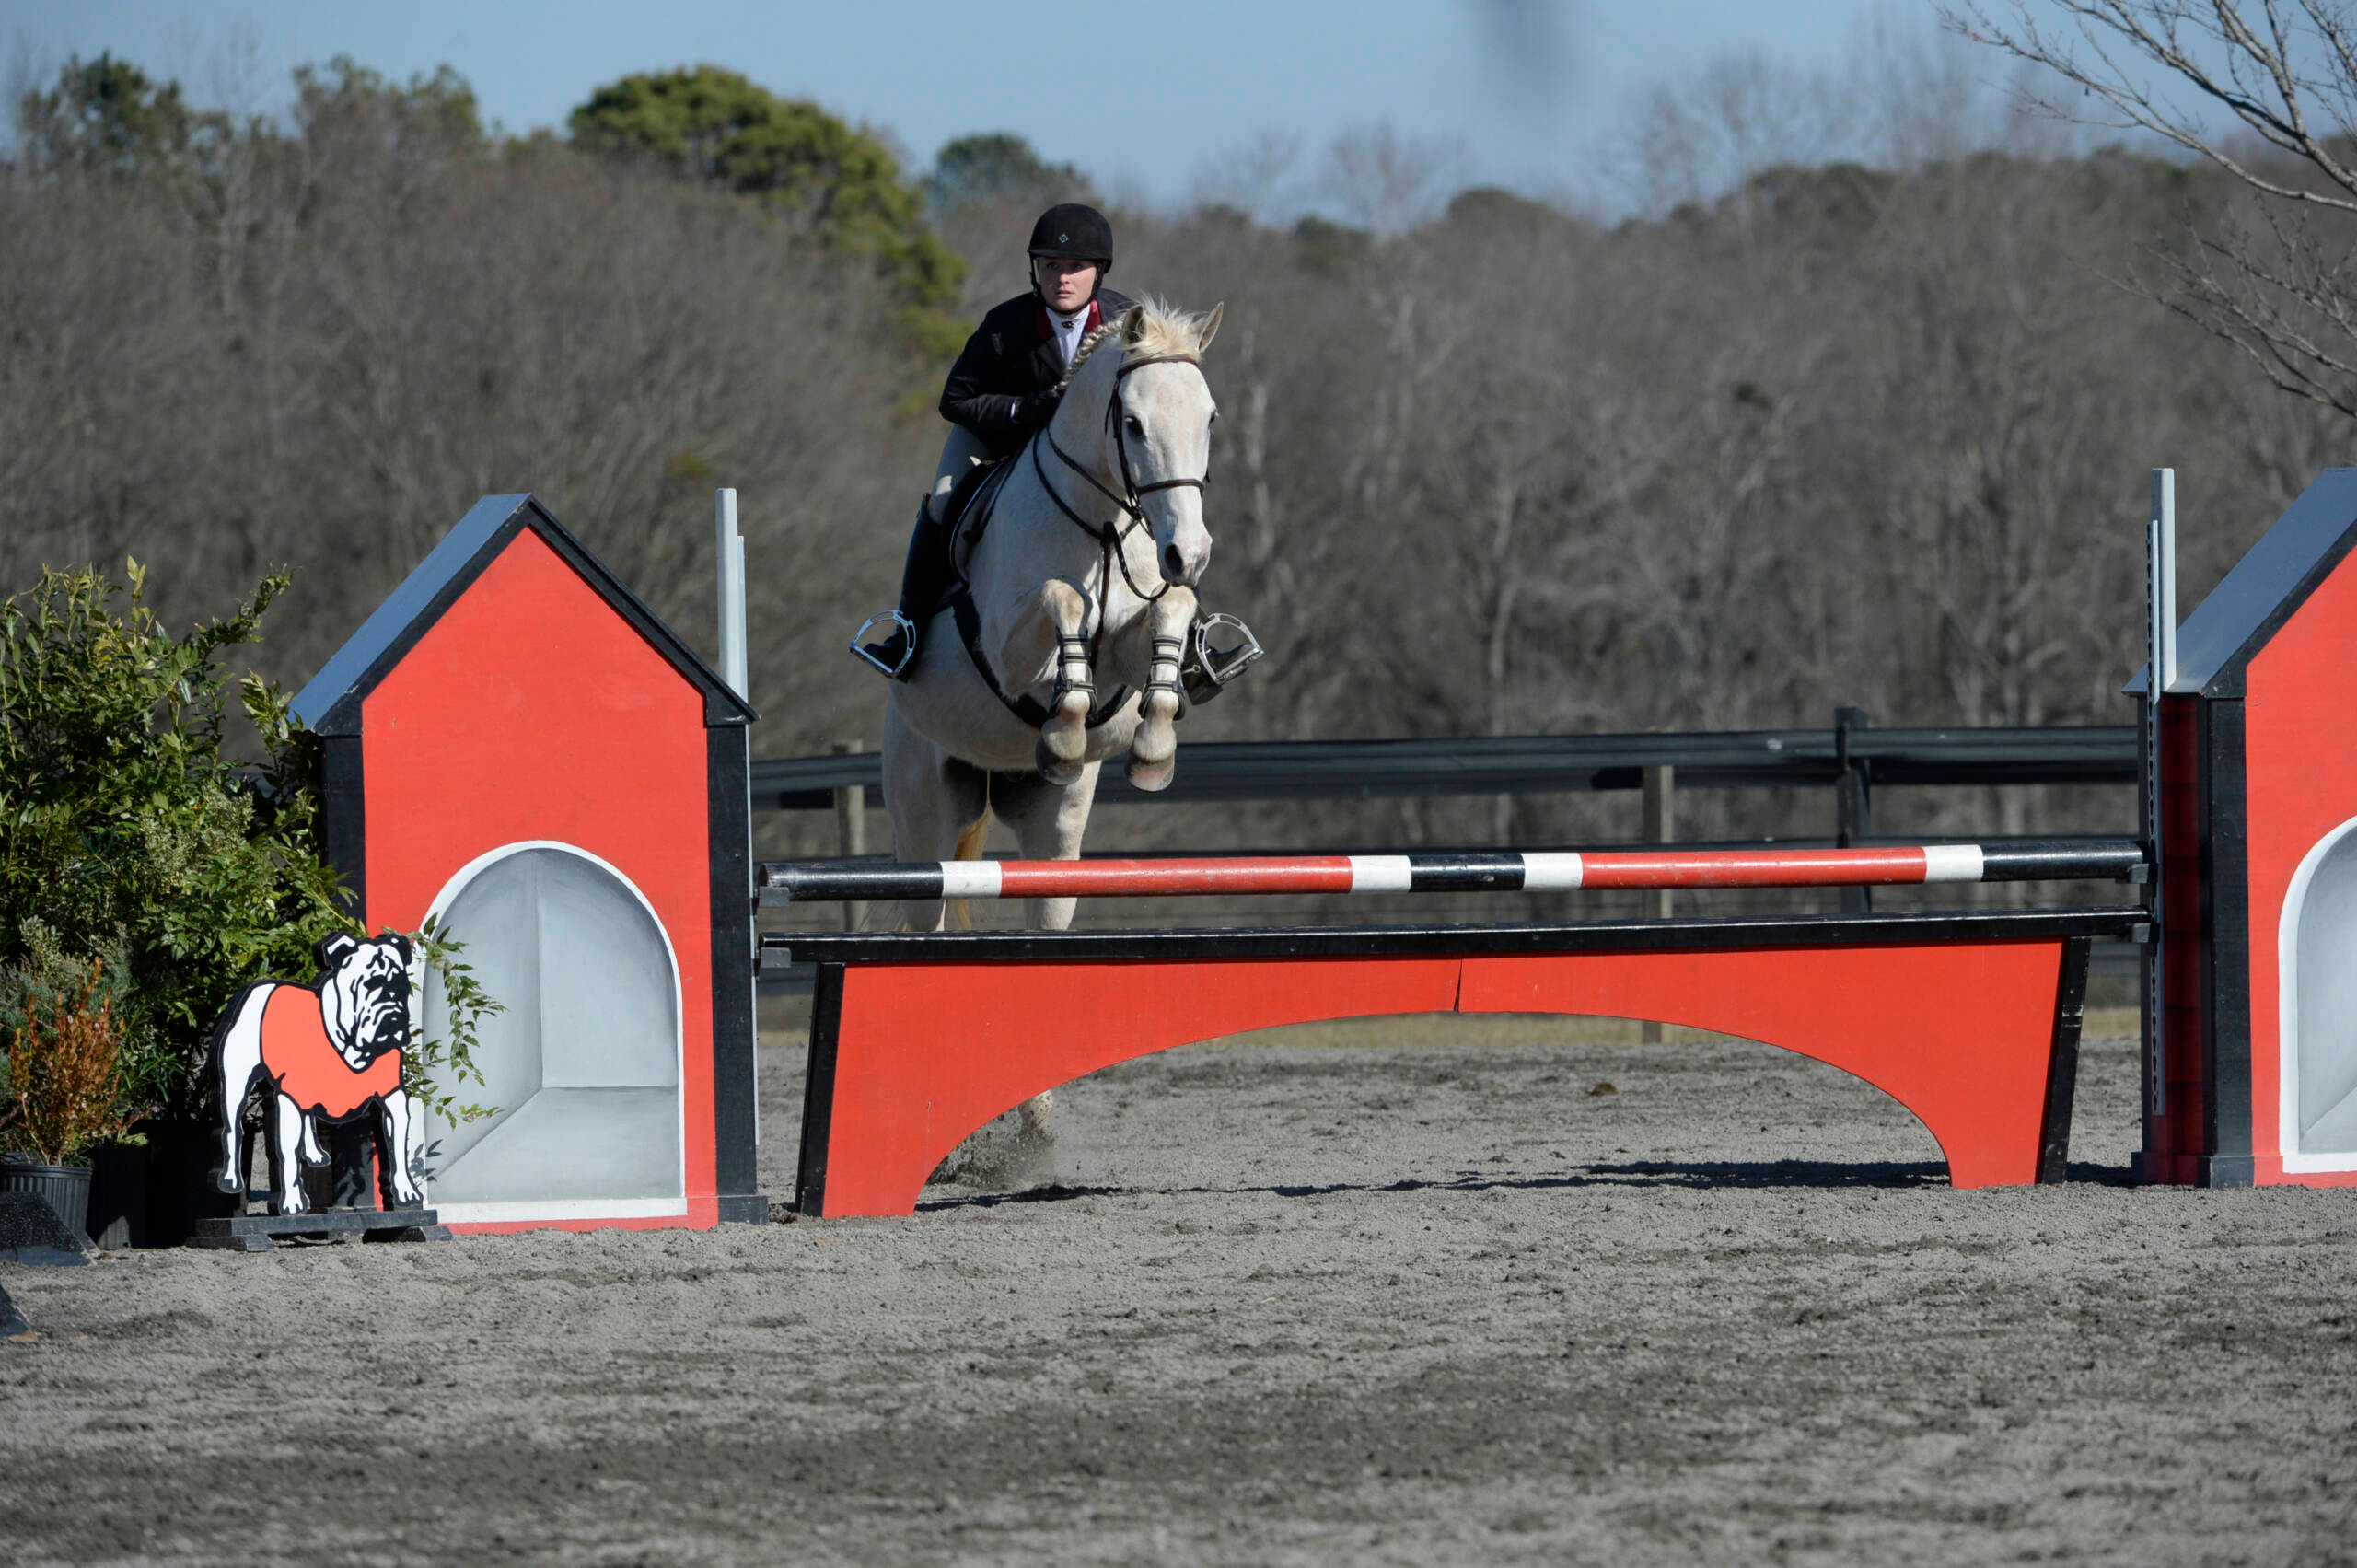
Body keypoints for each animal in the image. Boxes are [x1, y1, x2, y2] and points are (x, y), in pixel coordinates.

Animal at [877, 299, 1225, 1145]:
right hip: (924, 811)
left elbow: (1168, 613)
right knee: (925, 923)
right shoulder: (1008, 648)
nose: (1189, 550)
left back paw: (1034, 1118)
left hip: (1054, 825)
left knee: (1044, 915)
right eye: (1131, 423)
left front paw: (1153, 743)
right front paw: (1065, 722)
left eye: (1208, 418)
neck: (1101, 523)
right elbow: (1062, 598)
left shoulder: (1134, 633)